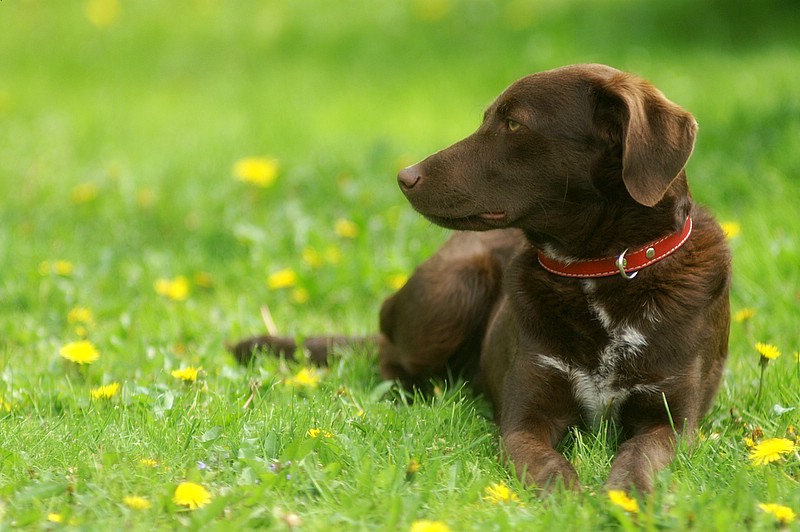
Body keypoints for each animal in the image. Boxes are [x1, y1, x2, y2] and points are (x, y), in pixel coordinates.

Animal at [232, 64, 731, 494]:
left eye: (513, 125)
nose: (404, 176)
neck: (602, 270)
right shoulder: (524, 420)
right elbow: (550, 466)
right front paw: (570, 501)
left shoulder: (671, 422)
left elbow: (639, 455)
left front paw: (625, 496)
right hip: (453, 293)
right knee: (389, 358)